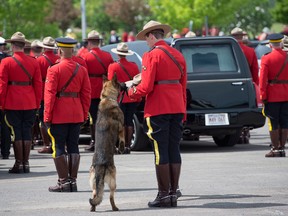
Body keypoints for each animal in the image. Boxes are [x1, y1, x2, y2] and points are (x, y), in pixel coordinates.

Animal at [88, 73, 124, 212]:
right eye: (119, 83)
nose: (125, 84)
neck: (107, 98)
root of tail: (100, 166)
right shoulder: (121, 127)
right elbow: (123, 137)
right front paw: (122, 147)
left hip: (93, 184)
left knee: (95, 195)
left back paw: (92, 209)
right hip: (114, 181)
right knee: (110, 197)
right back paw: (115, 208)